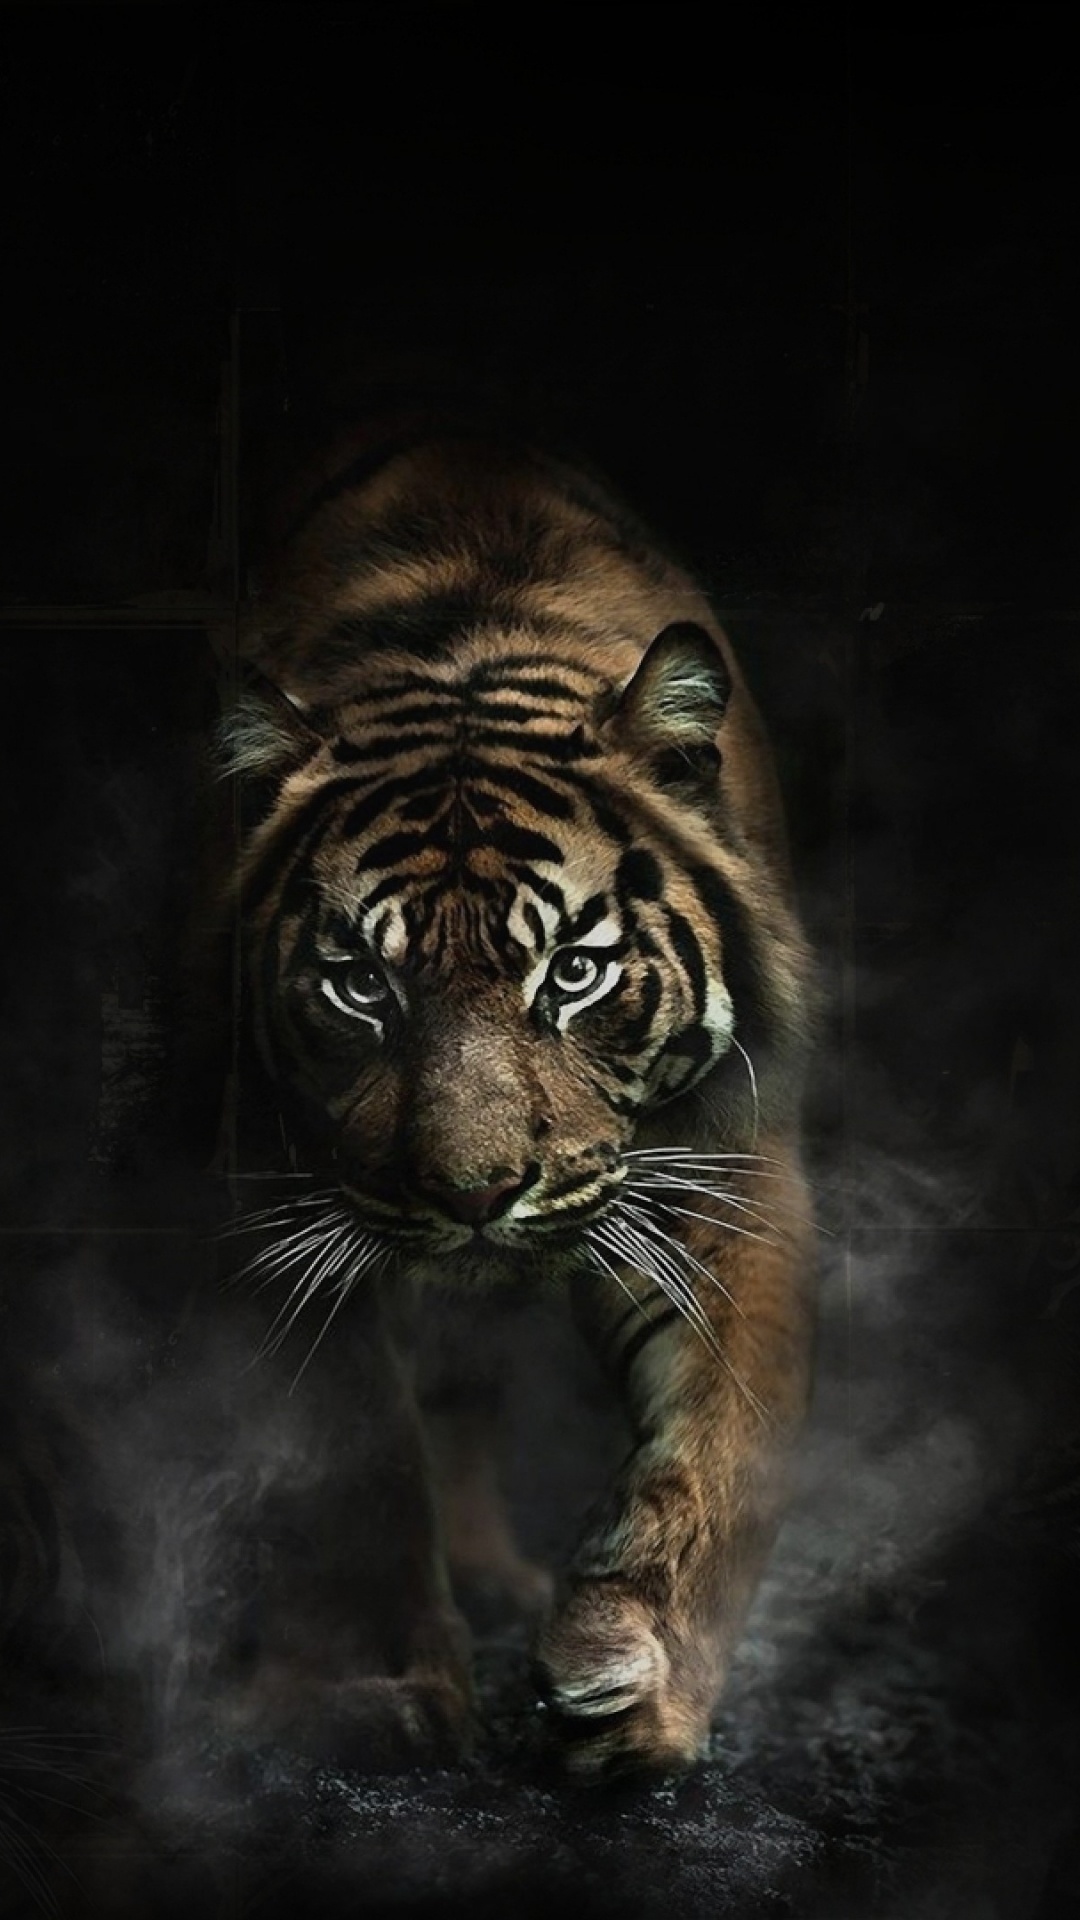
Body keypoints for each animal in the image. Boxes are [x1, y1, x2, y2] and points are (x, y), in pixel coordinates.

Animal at [213, 396, 819, 1780]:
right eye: (359, 985)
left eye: (576, 971)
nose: (476, 1194)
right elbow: (359, 1456)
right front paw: (380, 1694)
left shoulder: (729, 1164)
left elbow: (726, 1437)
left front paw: (636, 1680)